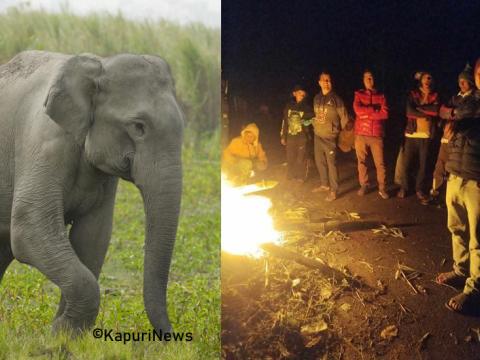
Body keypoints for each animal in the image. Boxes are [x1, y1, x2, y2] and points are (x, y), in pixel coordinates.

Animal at [0, 51, 184, 334]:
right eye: (138, 126)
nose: (172, 337)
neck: (99, 65)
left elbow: (92, 237)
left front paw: (64, 334)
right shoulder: (43, 145)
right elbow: (30, 229)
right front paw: (60, 332)